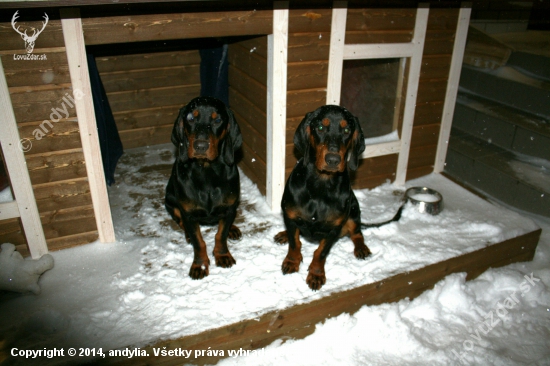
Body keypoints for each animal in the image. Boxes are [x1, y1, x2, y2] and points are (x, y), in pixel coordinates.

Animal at [166, 96, 244, 278]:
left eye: (218, 120)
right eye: (190, 118)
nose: (200, 146)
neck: (206, 172)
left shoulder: (229, 207)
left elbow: (220, 235)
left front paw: (223, 255)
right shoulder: (188, 214)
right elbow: (199, 242)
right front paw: (199, 266)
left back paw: (233, 229)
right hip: (169, 201)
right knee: (181, 222)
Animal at [276, 104, 370, 290]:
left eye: (347, 130)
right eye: (319, 127)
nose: (333, 160)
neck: (320, 186)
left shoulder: (334, 228)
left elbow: (321, 252)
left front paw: (316, 274)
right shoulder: (290, 216)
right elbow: (295, 243)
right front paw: (292, 261)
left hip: (354, 210)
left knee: (357, 233)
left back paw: (361, 248)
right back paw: (283, 234)